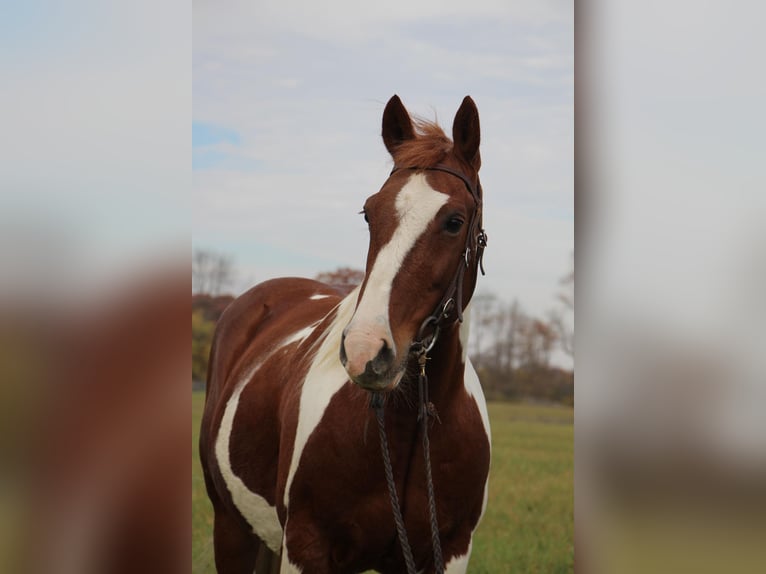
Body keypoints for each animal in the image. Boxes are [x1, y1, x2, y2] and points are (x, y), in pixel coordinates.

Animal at [200, 97, 492, 572]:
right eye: (369, 213)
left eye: (454, 221)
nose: (365, 351)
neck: (408, 427)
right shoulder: (306, 546)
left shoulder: (449, 552)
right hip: (231, 528)